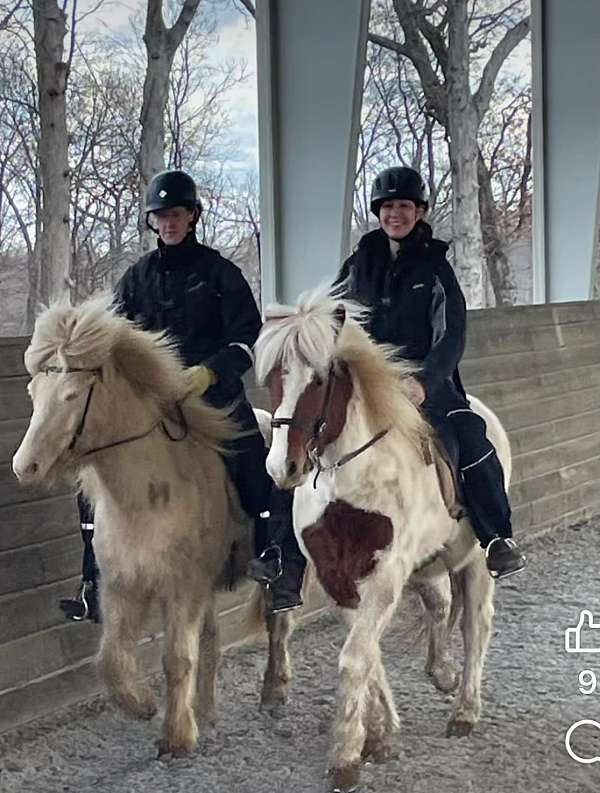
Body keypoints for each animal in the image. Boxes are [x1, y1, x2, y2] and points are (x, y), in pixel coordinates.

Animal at [254, 290, 510, 792]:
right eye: (274, 376)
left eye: (320, 379)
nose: (282, 468)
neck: (348, 480)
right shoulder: (337, 576)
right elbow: (366, 652)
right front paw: (382, 734)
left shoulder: (385, 572)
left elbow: (356, 657)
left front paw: (346, 758)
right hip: (430, 561)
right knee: (440, 605)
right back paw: (441, 672)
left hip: (476, 559)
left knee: (476, 624)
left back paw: (465, 710)